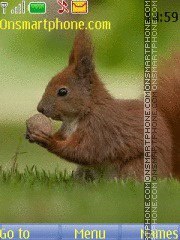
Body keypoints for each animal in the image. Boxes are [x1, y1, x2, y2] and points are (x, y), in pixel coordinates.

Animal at [26, 30, 180, 180]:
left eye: (62, 91)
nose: (40, 108)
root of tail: (169, 173)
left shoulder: (99, 130)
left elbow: (84, 152)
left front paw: (49, 141)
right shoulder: (67, 130)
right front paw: (32, 133)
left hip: (136, 167)